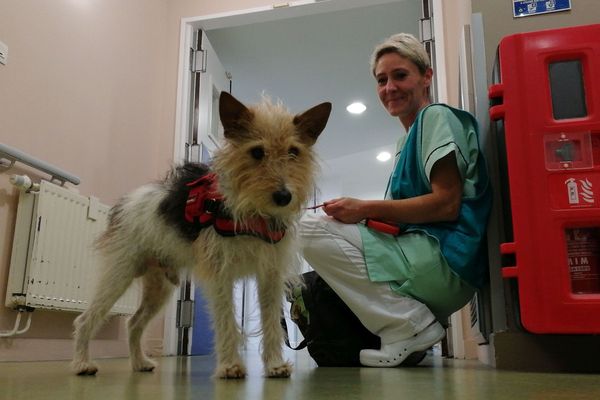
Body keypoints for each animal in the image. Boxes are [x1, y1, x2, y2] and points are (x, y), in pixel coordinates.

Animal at [74, 92, 332, 380]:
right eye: (257, 152)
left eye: (293, 152)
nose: (283, 196)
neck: (253, 212)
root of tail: (127, 203)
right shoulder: (220, 273)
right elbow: (226, 318)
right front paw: (230, 365)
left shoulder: (270, 275)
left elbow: (271, 322)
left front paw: (274, 364)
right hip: (118, 275)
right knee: (85, 319)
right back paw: (82, 363)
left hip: (159, 287)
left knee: (134, 323)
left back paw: (140, 362)